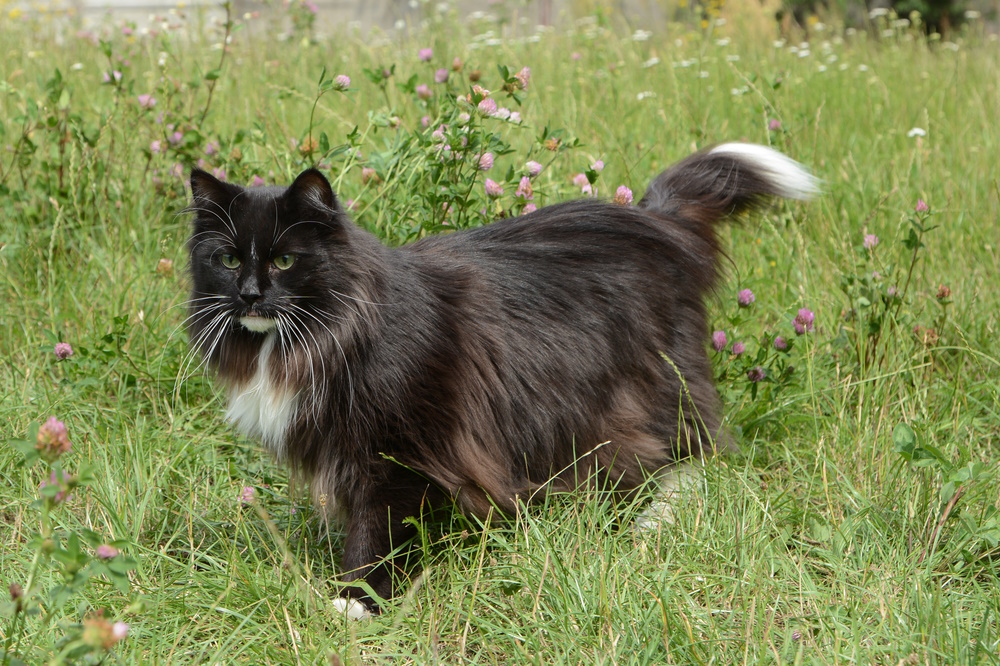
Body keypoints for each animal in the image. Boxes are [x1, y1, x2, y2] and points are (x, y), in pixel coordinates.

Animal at [189, 143, 820, 616]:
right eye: (227, 260)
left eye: (285, 261)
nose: (250, 294)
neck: (321, 335)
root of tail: (653, 218)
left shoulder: (396, 454)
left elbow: (376, 533)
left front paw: (357, 602)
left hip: (647, 387)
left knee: (688, 451)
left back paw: (652, 520)